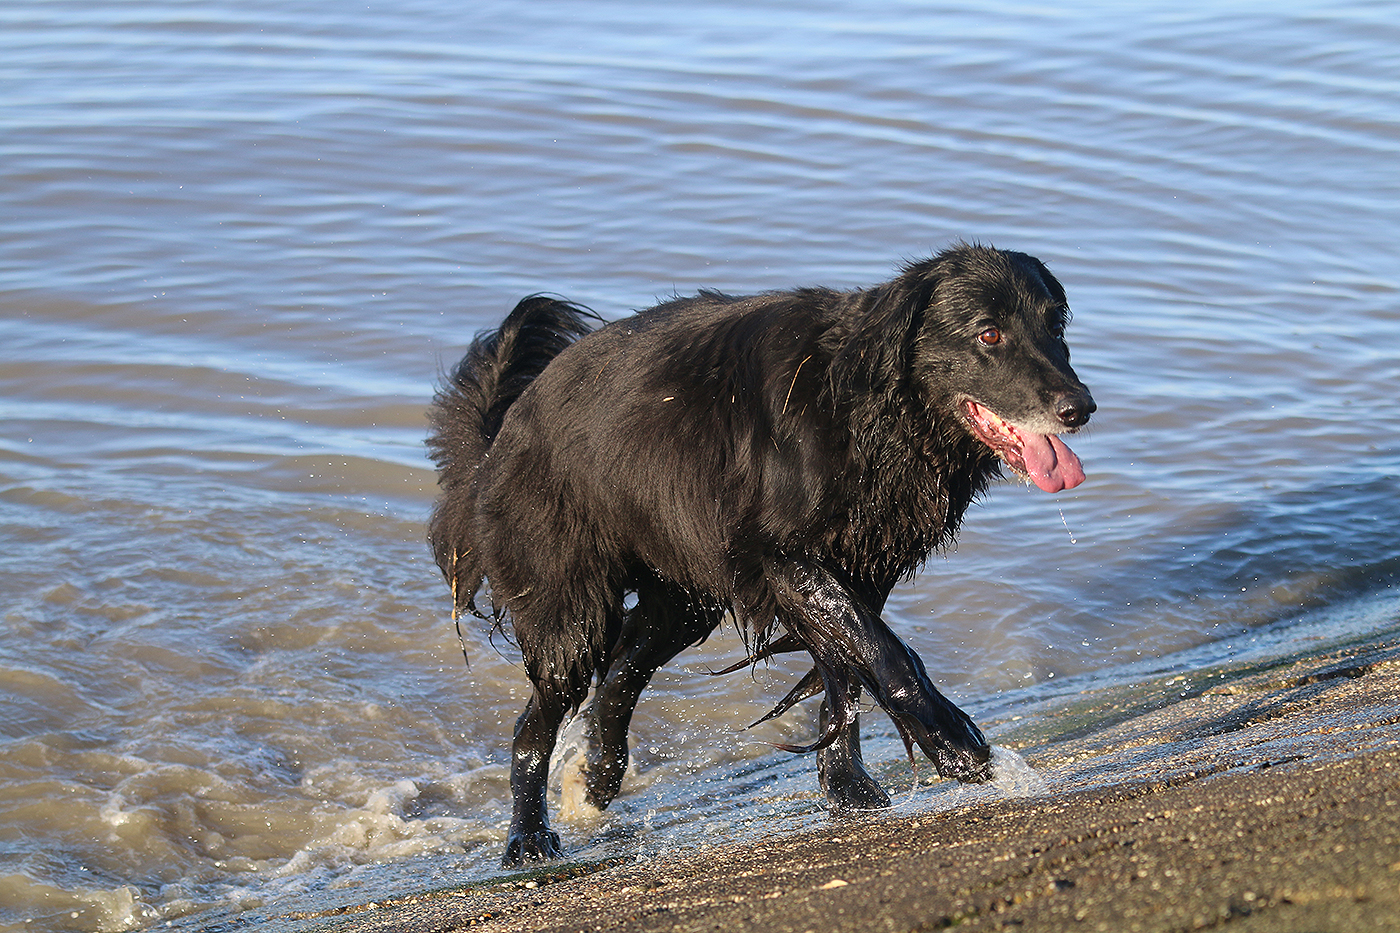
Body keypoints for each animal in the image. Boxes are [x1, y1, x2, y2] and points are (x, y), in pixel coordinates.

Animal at [427, 243, 1094, 866]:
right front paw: (957, 747)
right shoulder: (781, 556)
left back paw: (599, 775)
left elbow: (846, 671)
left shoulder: (857, 566)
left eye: (1054, 327)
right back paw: (528, 836)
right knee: (534, 723)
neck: (865, 400)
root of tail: (501, 436)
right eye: (989, 333)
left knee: (621, 673)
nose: (1080, 407)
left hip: (684, 597)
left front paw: (847, 786)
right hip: (571, 610)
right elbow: (886, 655)